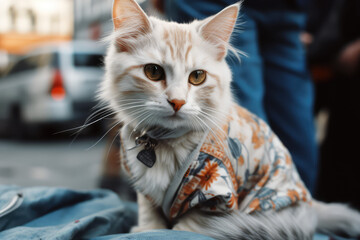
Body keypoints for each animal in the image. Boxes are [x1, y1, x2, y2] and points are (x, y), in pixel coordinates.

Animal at [100, 0, 360, 238]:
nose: (177, 102)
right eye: (153, 72)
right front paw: (147, 229)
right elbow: (149, 213)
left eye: (197, 77)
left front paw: (175, 230)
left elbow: (194, 223)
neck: (165, 142)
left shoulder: (215, 192)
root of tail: (310, 211)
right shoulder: (144, 188)